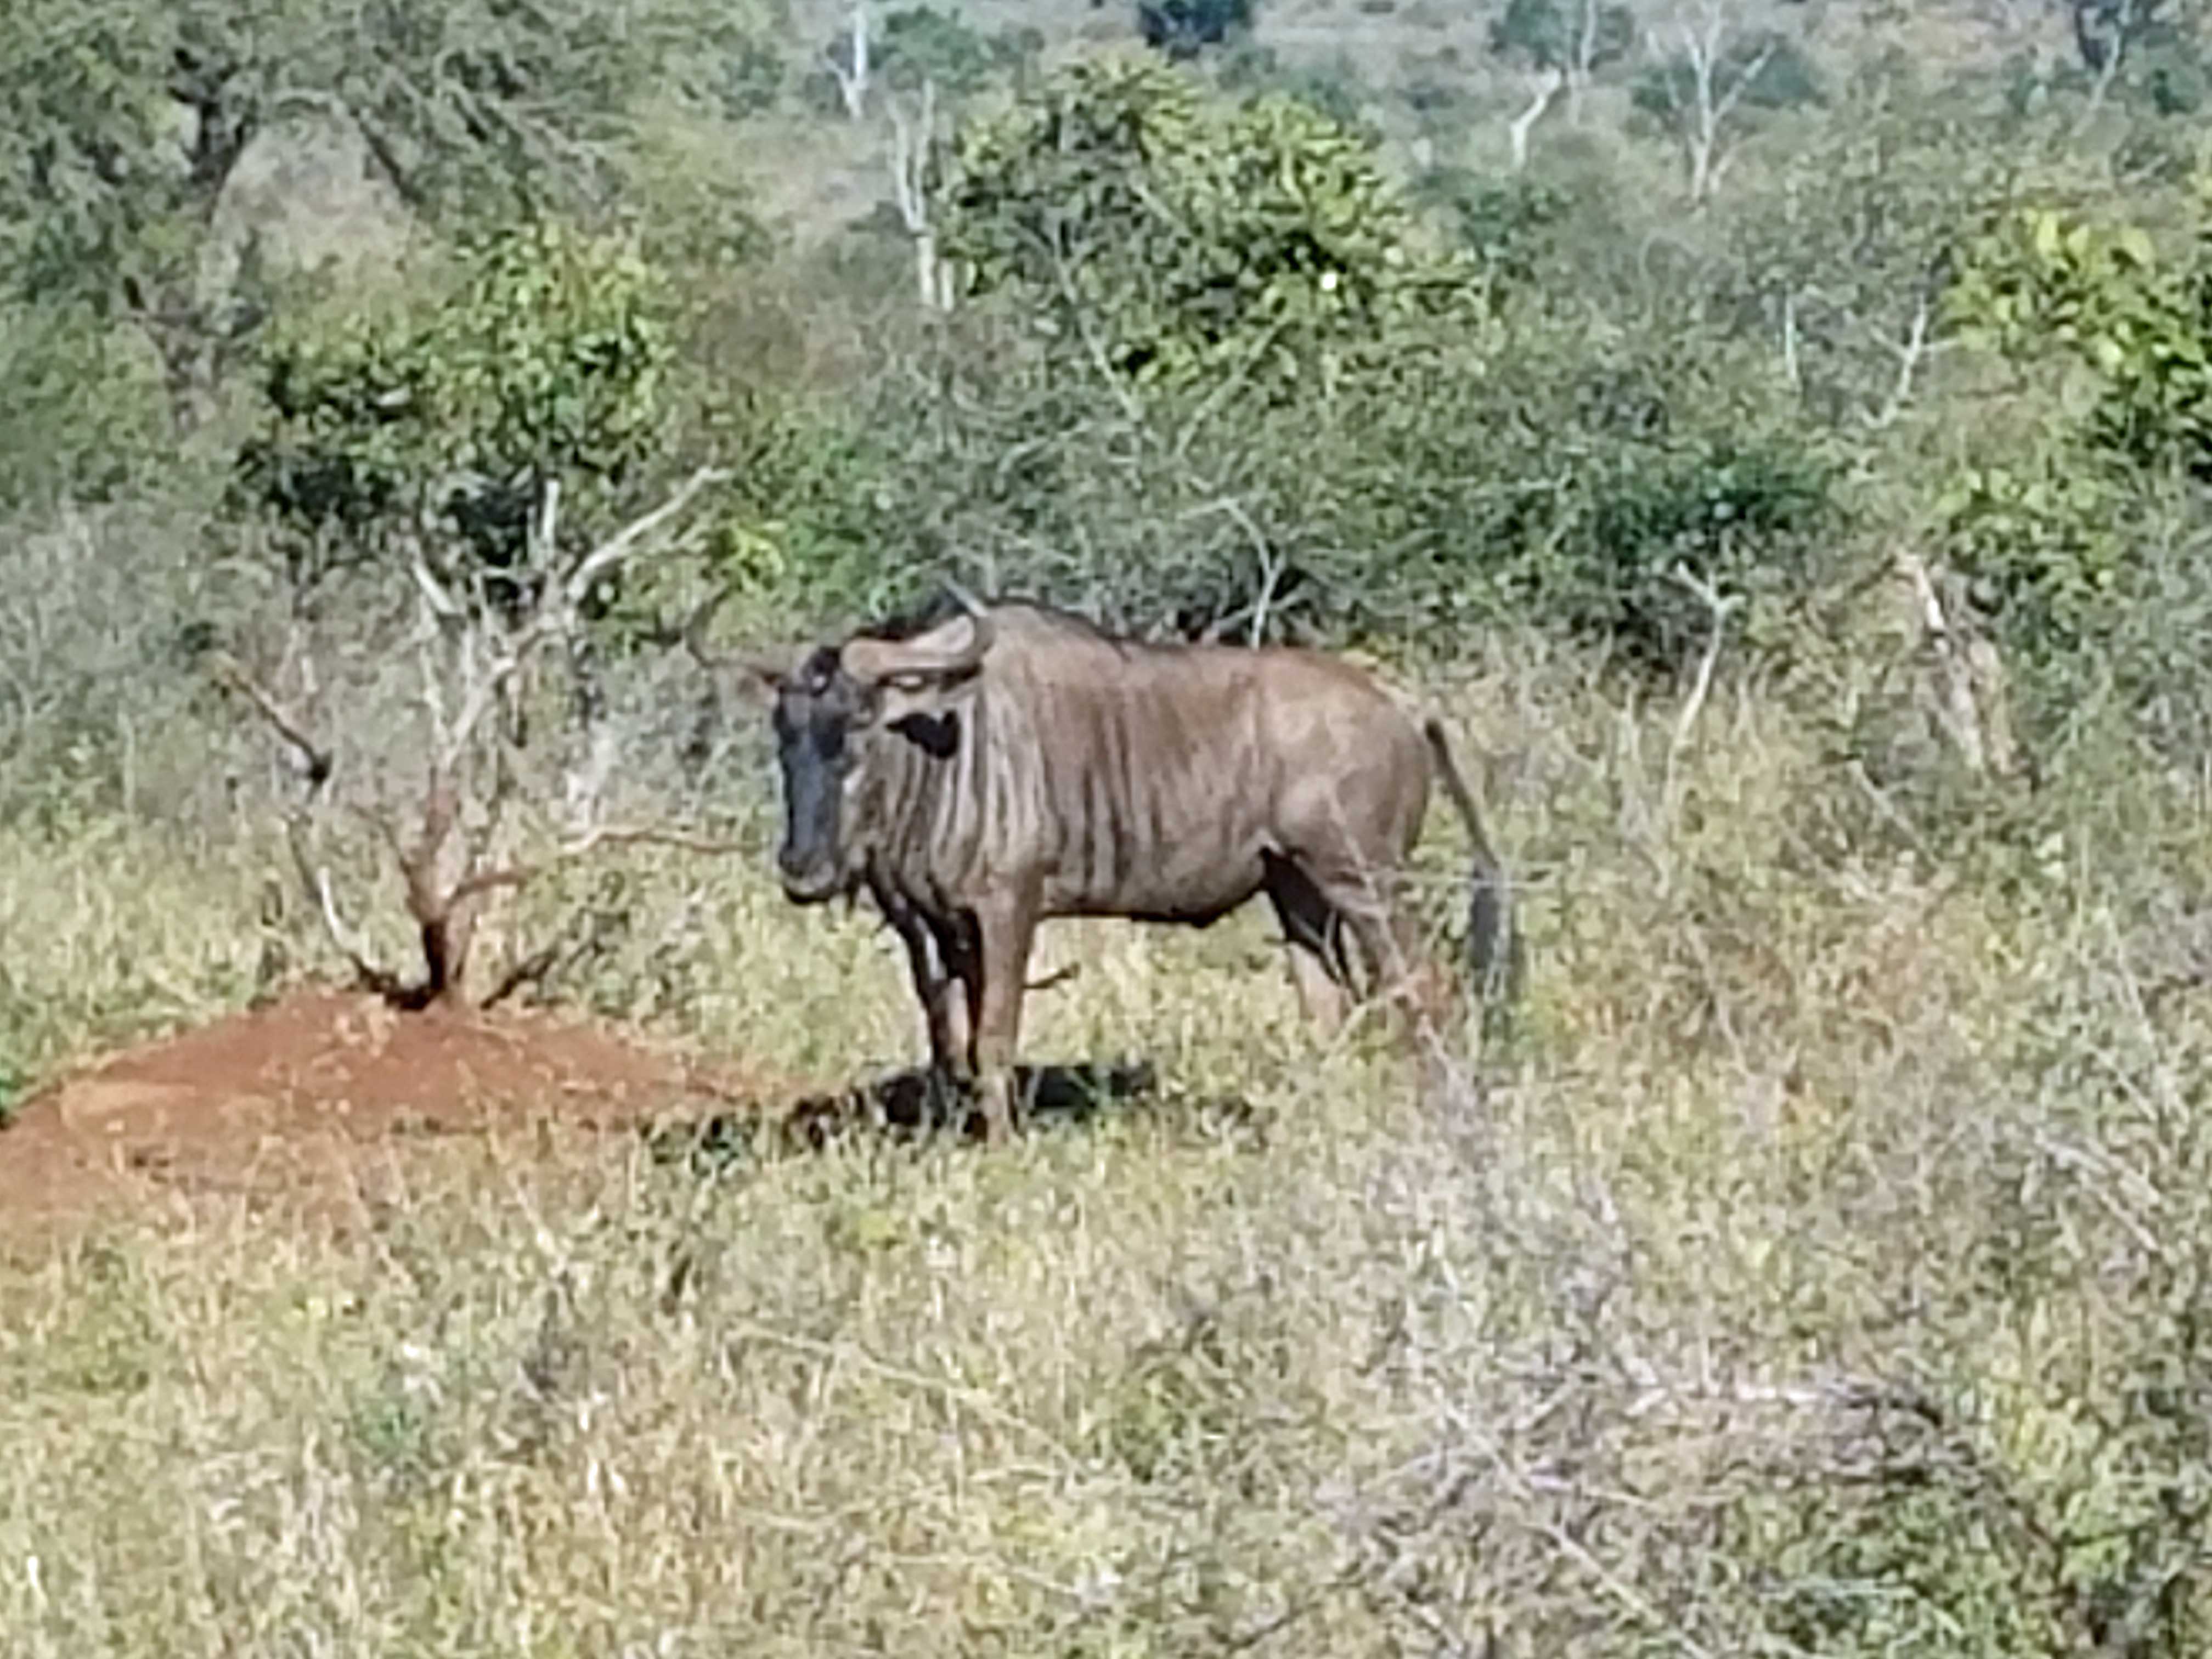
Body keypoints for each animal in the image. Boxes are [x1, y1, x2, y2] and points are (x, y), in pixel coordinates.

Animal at [718, 589, 1518, 1142]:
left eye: (859, 728)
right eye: (786, 731)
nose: (804, 871)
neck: (941, 742)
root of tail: (1404, 705)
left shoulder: (1008, 909)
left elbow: (994, 1036)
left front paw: (1003, 1149)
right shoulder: (932, 927)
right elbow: (949, 1041)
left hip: (1364, 883)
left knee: (1425, 986)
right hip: (1299, 891)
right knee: (1329, 1004)